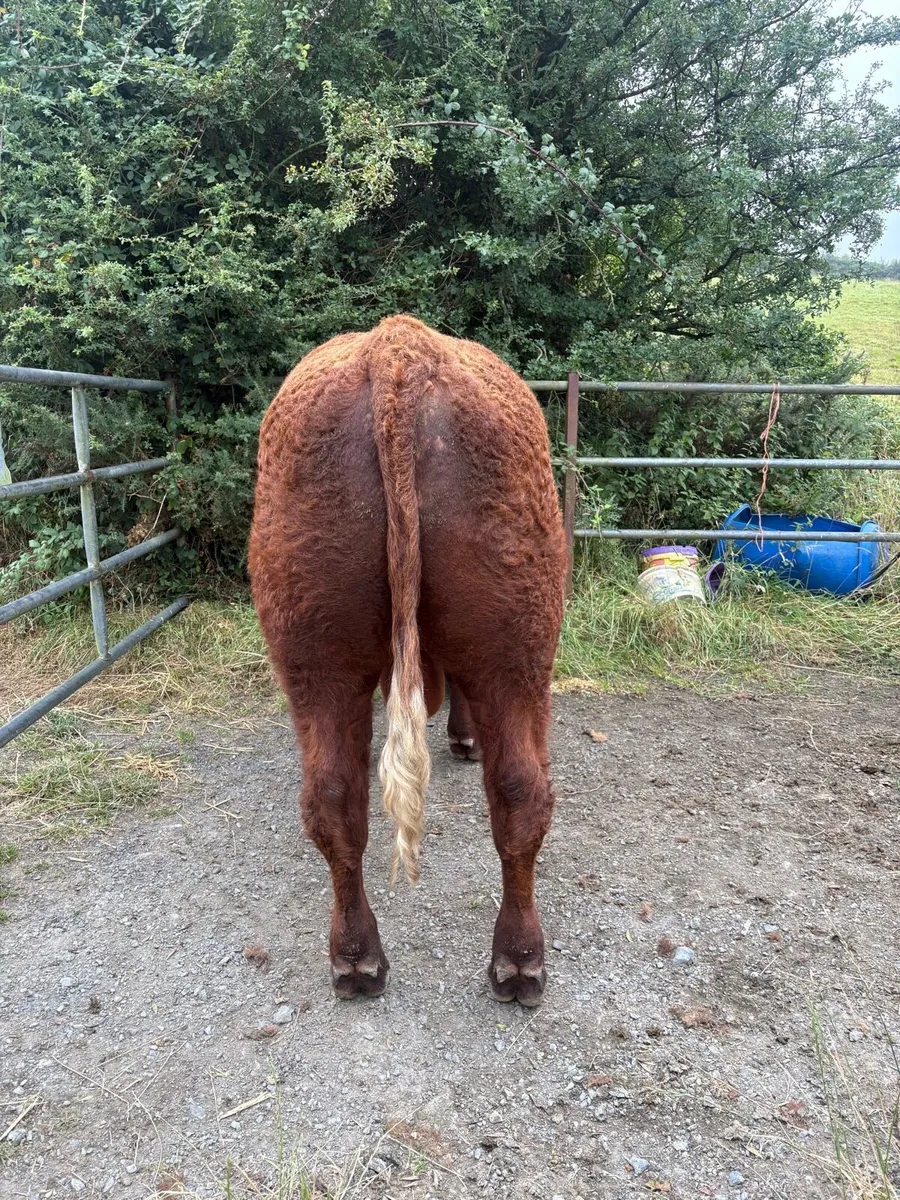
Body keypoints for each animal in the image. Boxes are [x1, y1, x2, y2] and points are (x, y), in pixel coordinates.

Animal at [248, 315, 567, 1007]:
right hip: (519, 653)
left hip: (320, 655)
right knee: (522, 789)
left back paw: (357, 959)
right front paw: (464, 737)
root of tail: (399, 350)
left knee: (336, 798)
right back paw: (520, 960)